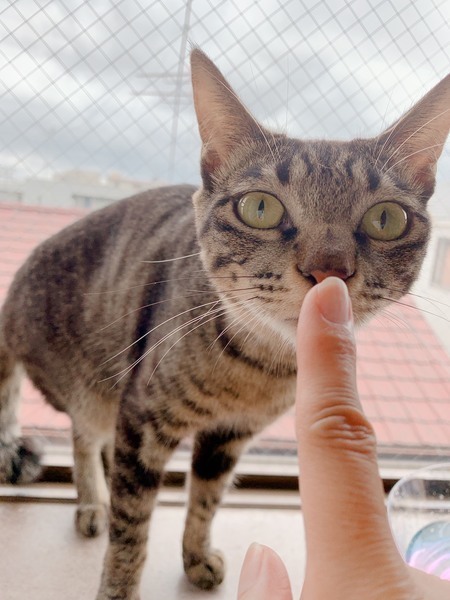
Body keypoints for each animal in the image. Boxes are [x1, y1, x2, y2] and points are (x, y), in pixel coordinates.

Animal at [0, 48, 449, 599]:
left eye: (386, 219)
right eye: (259, 207)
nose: (329, 269)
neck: (258, 369)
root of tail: (10, 299)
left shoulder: (229, 437)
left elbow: (206, 501)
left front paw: (195, 557)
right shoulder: (142, 416)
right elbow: (131, 531)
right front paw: (119, 587)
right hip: (92, 391)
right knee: (85, 437)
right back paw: (92, 502)